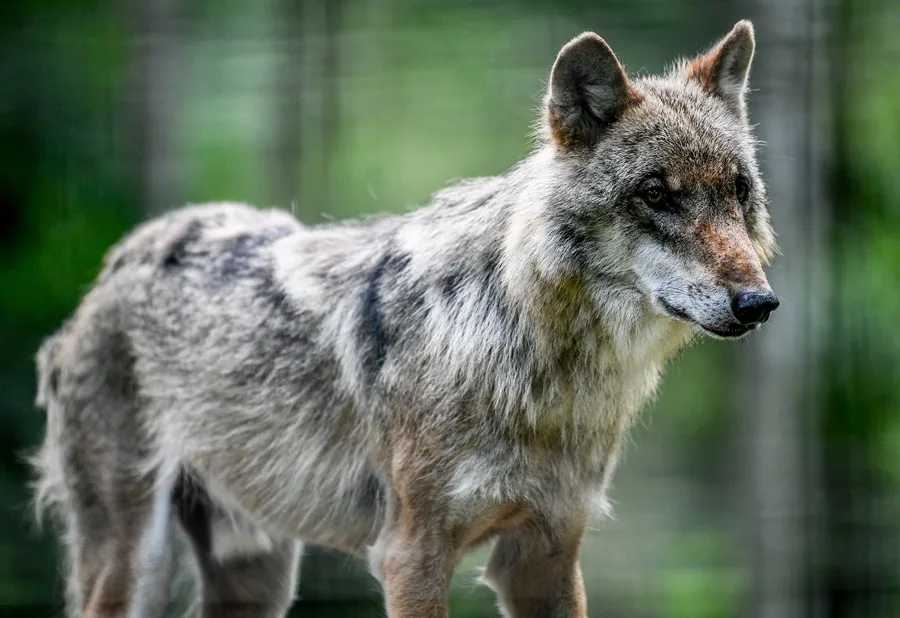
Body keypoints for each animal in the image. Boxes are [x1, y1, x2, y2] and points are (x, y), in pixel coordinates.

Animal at [30, 20, 778, 618]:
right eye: (656, 194)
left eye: (737, 192)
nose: (759, 303)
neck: (544, 371)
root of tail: (123, 257)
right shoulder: (411, 554)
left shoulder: (547, 556)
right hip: (135, 565)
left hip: (259, 576)